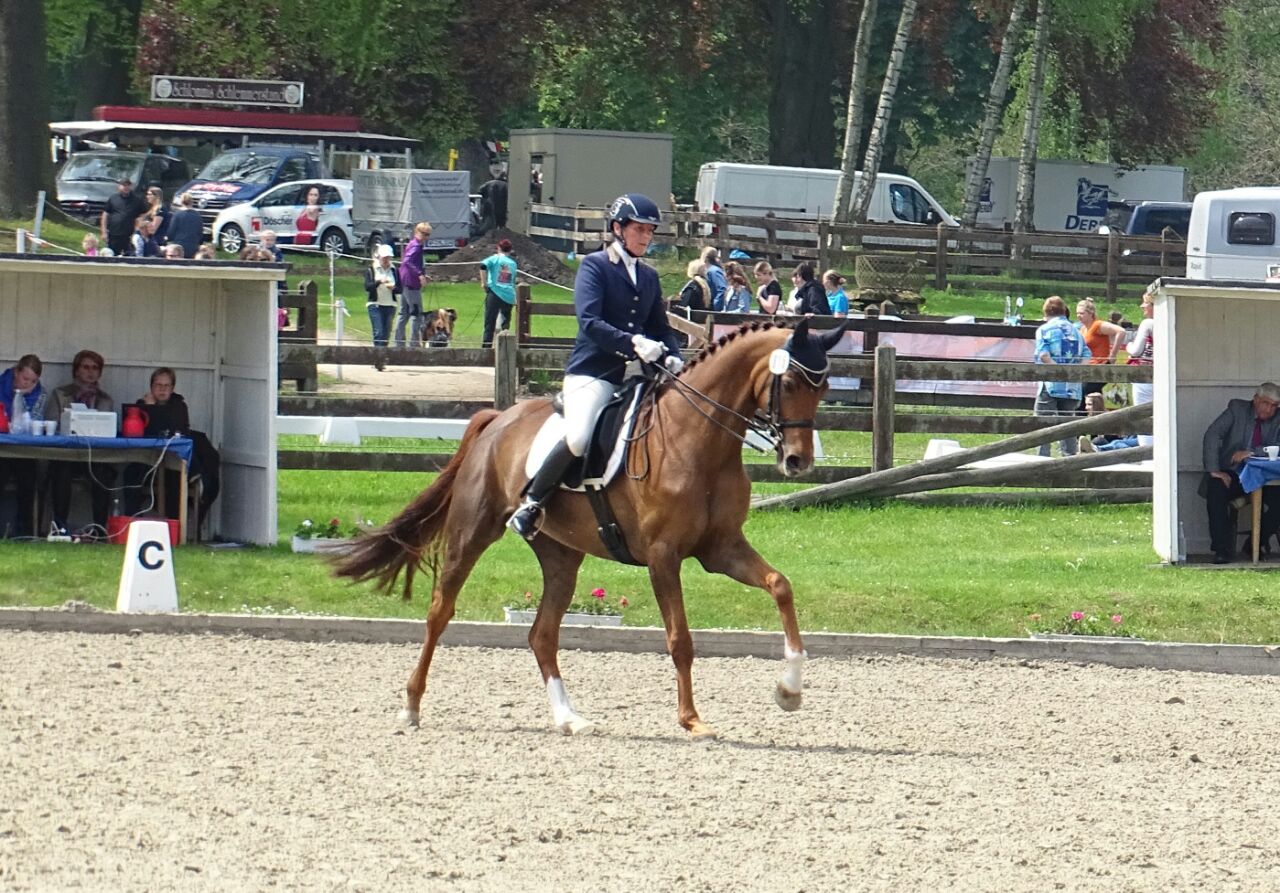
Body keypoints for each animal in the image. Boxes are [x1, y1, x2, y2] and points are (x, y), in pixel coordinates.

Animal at [332, 316, 848, 738]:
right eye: (792, 381)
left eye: (822, 387)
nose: (798, 461)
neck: (699, 438)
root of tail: (498, 418)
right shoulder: (663, 556)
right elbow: (680, 640)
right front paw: (692, 720)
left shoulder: (721, 549)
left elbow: (780, 586)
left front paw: (789, 691)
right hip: (472, 531)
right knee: (440, 611)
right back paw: (411, 707)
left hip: (561, 554)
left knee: (542, 634)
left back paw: (568, 718)